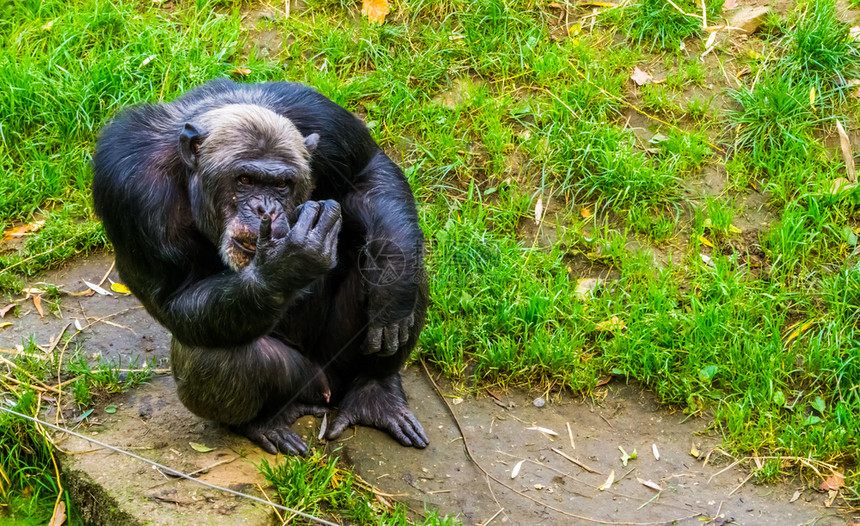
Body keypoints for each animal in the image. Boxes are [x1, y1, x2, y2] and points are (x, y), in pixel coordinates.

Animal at [92, 79, 428, 458]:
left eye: (281, 184)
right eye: (244, 180)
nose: (265, 209)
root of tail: (326, 392)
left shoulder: (324, 119)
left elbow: (368, 171)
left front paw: (391, 283)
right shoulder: (129, 186)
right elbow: (176, 296)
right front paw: (288, 265)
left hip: (338, 362)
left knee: (401, 260)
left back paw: (376, 390)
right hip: (304, 382)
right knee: (212, 356)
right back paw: (264, 423)